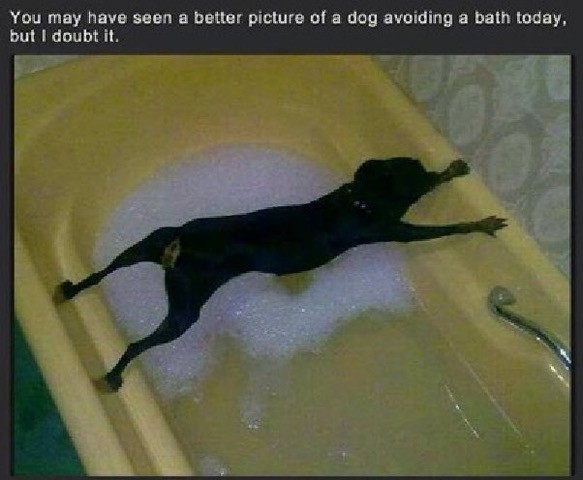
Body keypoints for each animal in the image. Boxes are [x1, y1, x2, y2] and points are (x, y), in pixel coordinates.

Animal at [55, 157, 507, 391]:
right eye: (411, 172)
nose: (426, 168)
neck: (357, 199)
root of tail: (179, 247)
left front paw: (451, 170)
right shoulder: (395, 229)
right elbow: (444, 228)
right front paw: (479, 220)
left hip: (148, 241)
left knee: (102, 272)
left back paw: (71, 289)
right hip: (185, 309)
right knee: (137, 344)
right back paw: (114, 375)